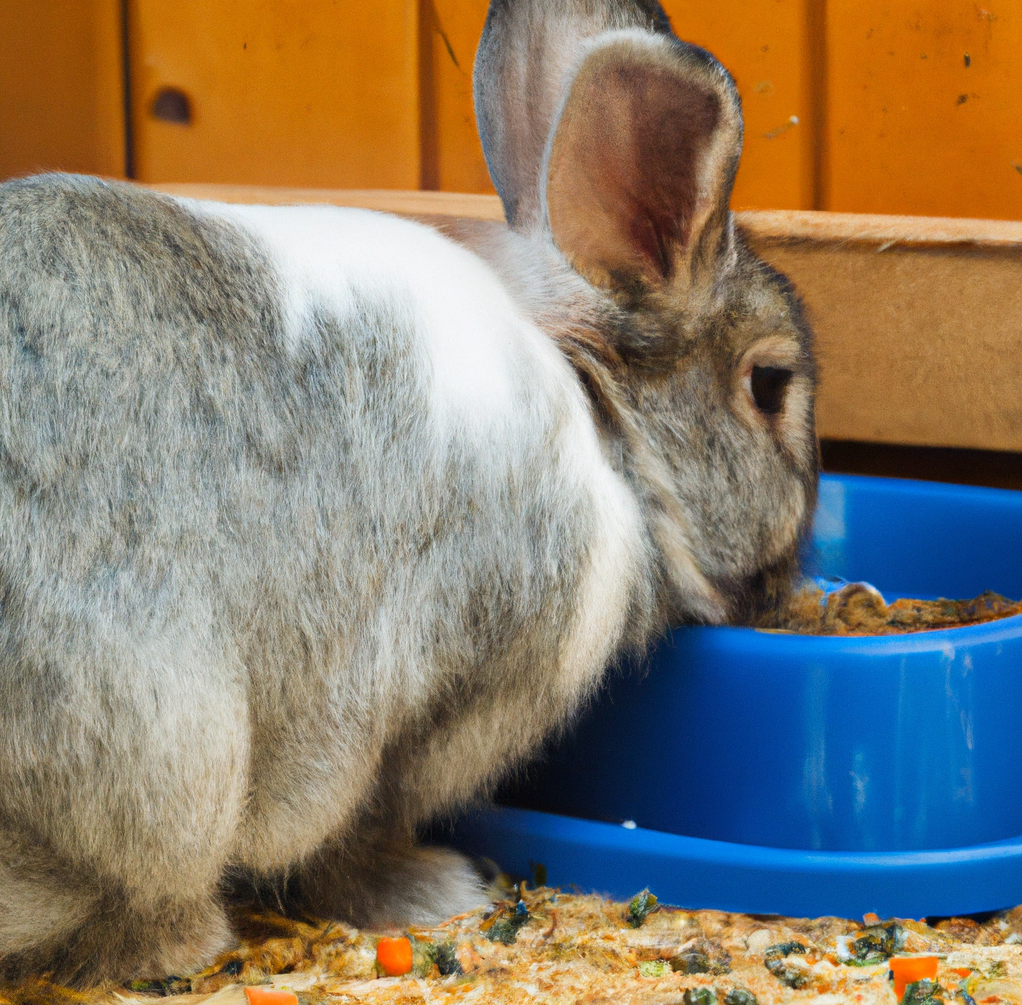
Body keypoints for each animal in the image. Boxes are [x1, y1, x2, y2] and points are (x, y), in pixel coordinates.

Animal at [0, 0, 813, 989]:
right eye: (769, 386)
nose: (789, 578)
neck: (598, 418)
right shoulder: (418, 704)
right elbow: (354, 829)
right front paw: (439, 889)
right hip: (165, 749)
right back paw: (184, 939)